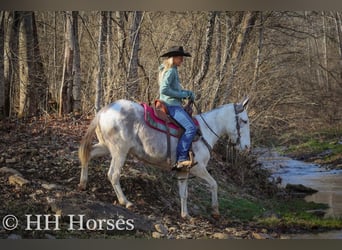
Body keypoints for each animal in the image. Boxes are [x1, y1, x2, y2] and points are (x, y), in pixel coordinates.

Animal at [79, 98, 251, 219]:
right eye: (244, 121)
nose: (247, 147)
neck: (203, 132)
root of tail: (105, 110)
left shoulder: (183, 171)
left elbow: (184, 193)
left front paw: (185, 215)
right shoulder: (198, 168)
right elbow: (214, 184)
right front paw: (215, 211)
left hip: (105, 146)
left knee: (87, 155)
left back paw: (83, 184)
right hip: (119, 151)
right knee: (113, 175)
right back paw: (125, 202)